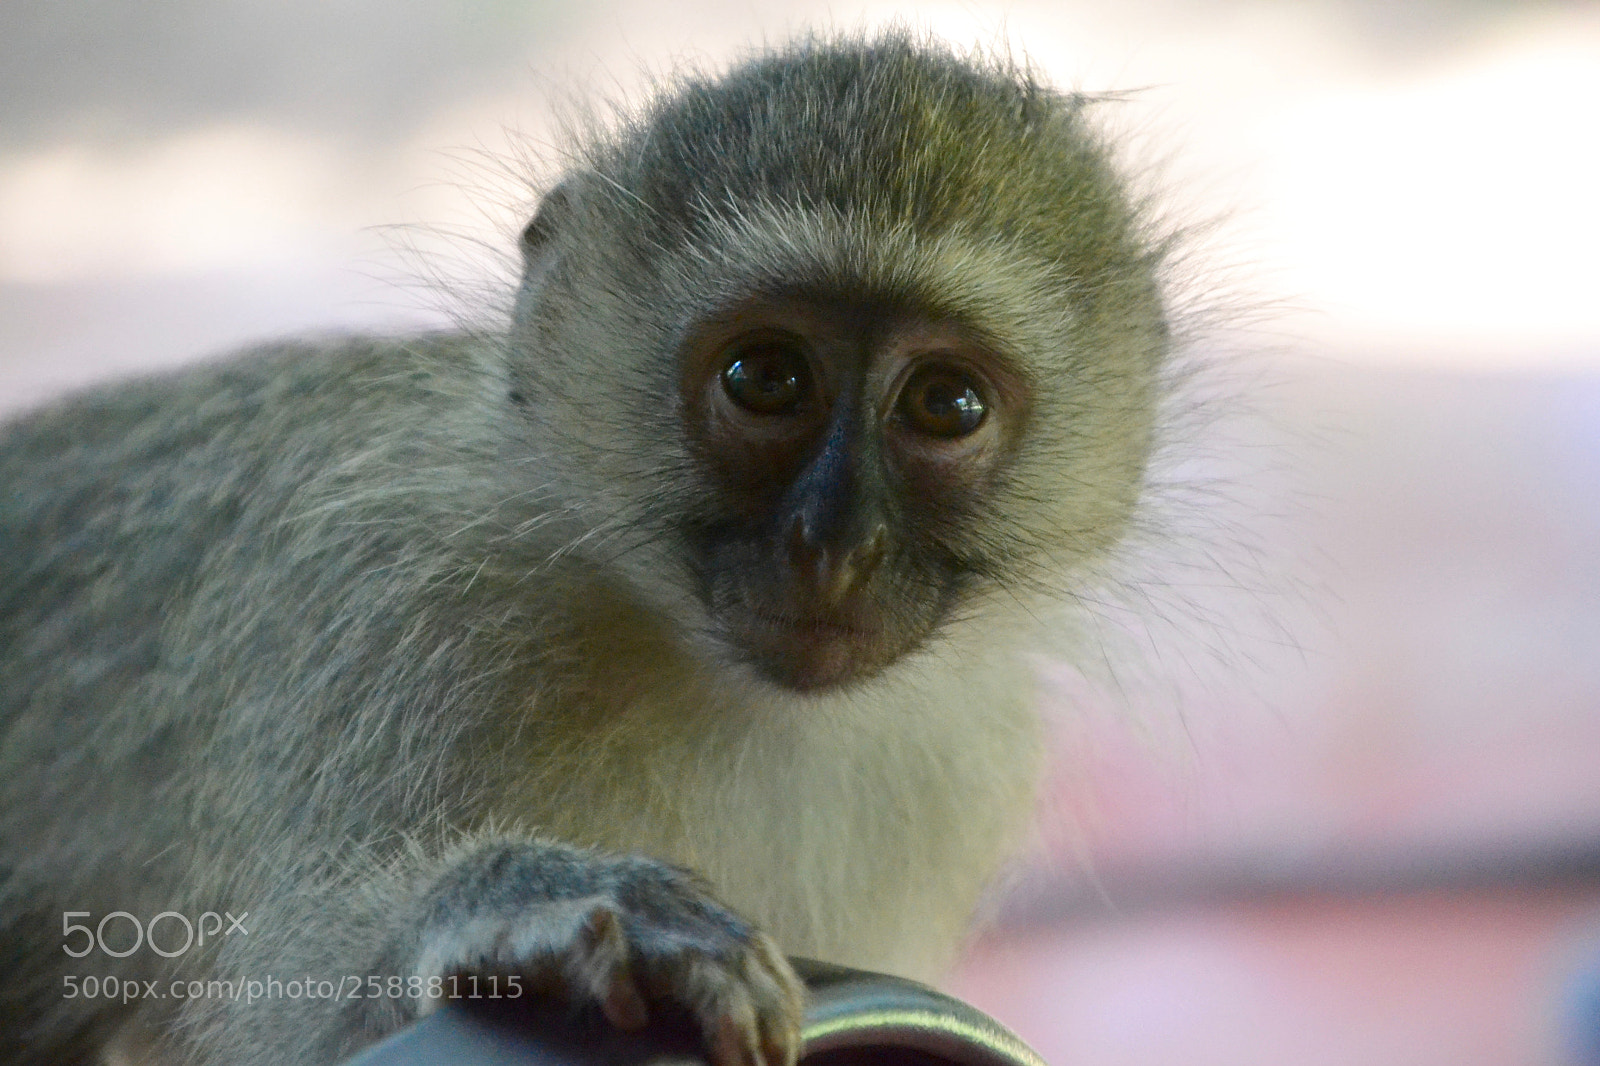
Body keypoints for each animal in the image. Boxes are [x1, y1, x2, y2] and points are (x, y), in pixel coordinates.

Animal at [0, 30, 1172, 1066]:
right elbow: (285, 1019)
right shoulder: (388, 605)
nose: (835, 545)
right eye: (765, 379)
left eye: (946, 404)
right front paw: (516, 908)